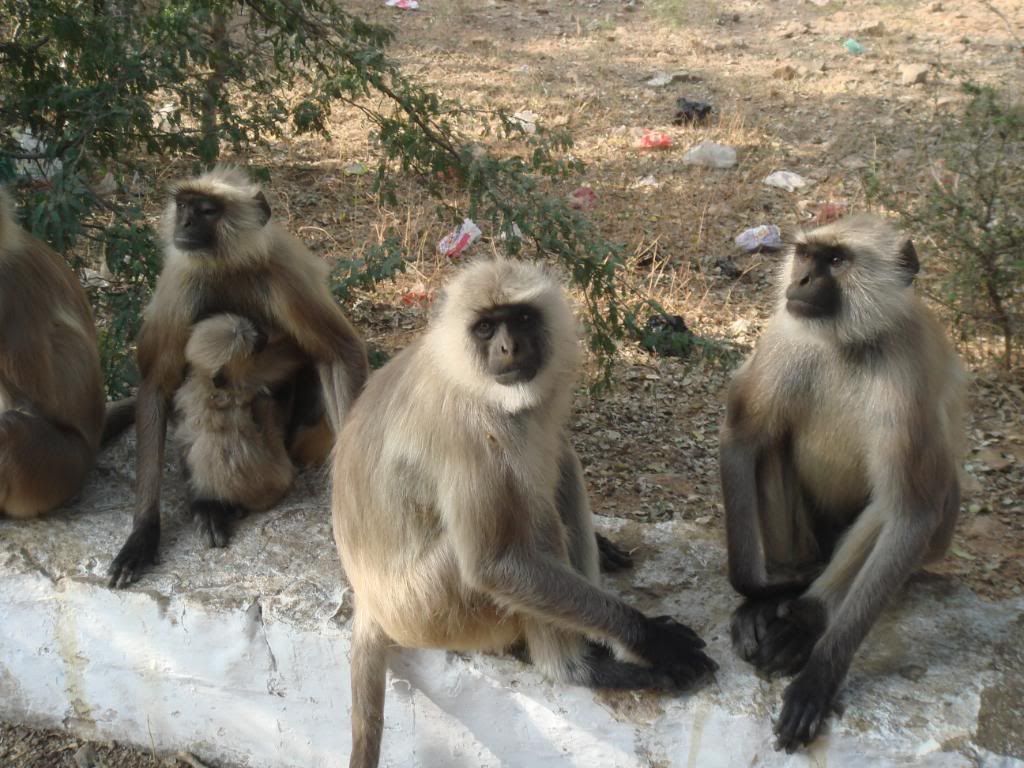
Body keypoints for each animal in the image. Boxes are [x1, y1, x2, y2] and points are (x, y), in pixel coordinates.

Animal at [331, 260, 716, 768]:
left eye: (523, 319)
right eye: (486, 328)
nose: (508, 347)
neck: (461, 371)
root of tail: (369, 600)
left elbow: (558, 453)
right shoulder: (467, 429)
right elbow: (492, 563)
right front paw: (646, 637)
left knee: (557, 468)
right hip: (435, 609)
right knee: (529, 514)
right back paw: (577, 668)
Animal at [720, 215, 966, 753]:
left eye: (836, 260)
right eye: (807, 255)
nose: (803, 279)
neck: (846, 342)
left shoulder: (907, 368)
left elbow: (911, 513)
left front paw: (820, 672)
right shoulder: (784, 331)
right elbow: (743, 440)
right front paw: (758, 597)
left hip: (933, 541)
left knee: (904, 504)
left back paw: (807, 617)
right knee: (772, 443)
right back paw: (790, 585)